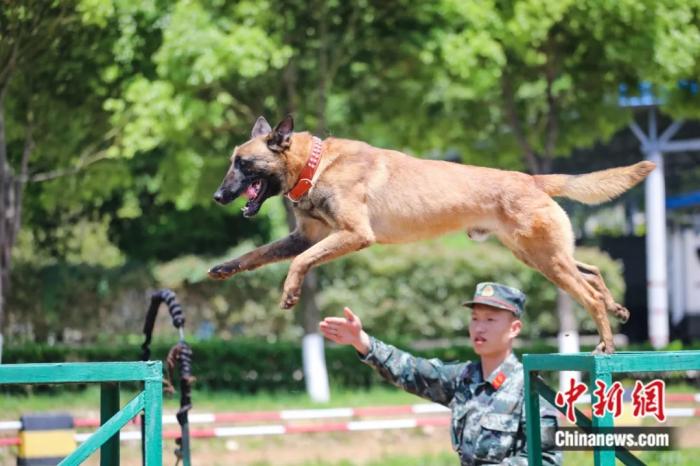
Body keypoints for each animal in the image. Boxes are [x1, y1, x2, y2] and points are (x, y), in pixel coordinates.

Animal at [211, 115, 652, 354]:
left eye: (243, 164)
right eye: (231, 161)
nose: (217, 197)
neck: (315, 165)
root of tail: (532, 179)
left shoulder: (354, 235)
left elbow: (300, 262)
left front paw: (289, 291)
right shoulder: (306, 237)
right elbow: (258, 254)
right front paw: (226, 266)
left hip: (547, 259)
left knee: (588, 294)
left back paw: (607, 341)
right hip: (537, 256)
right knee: (592, 270)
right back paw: (616, 307)